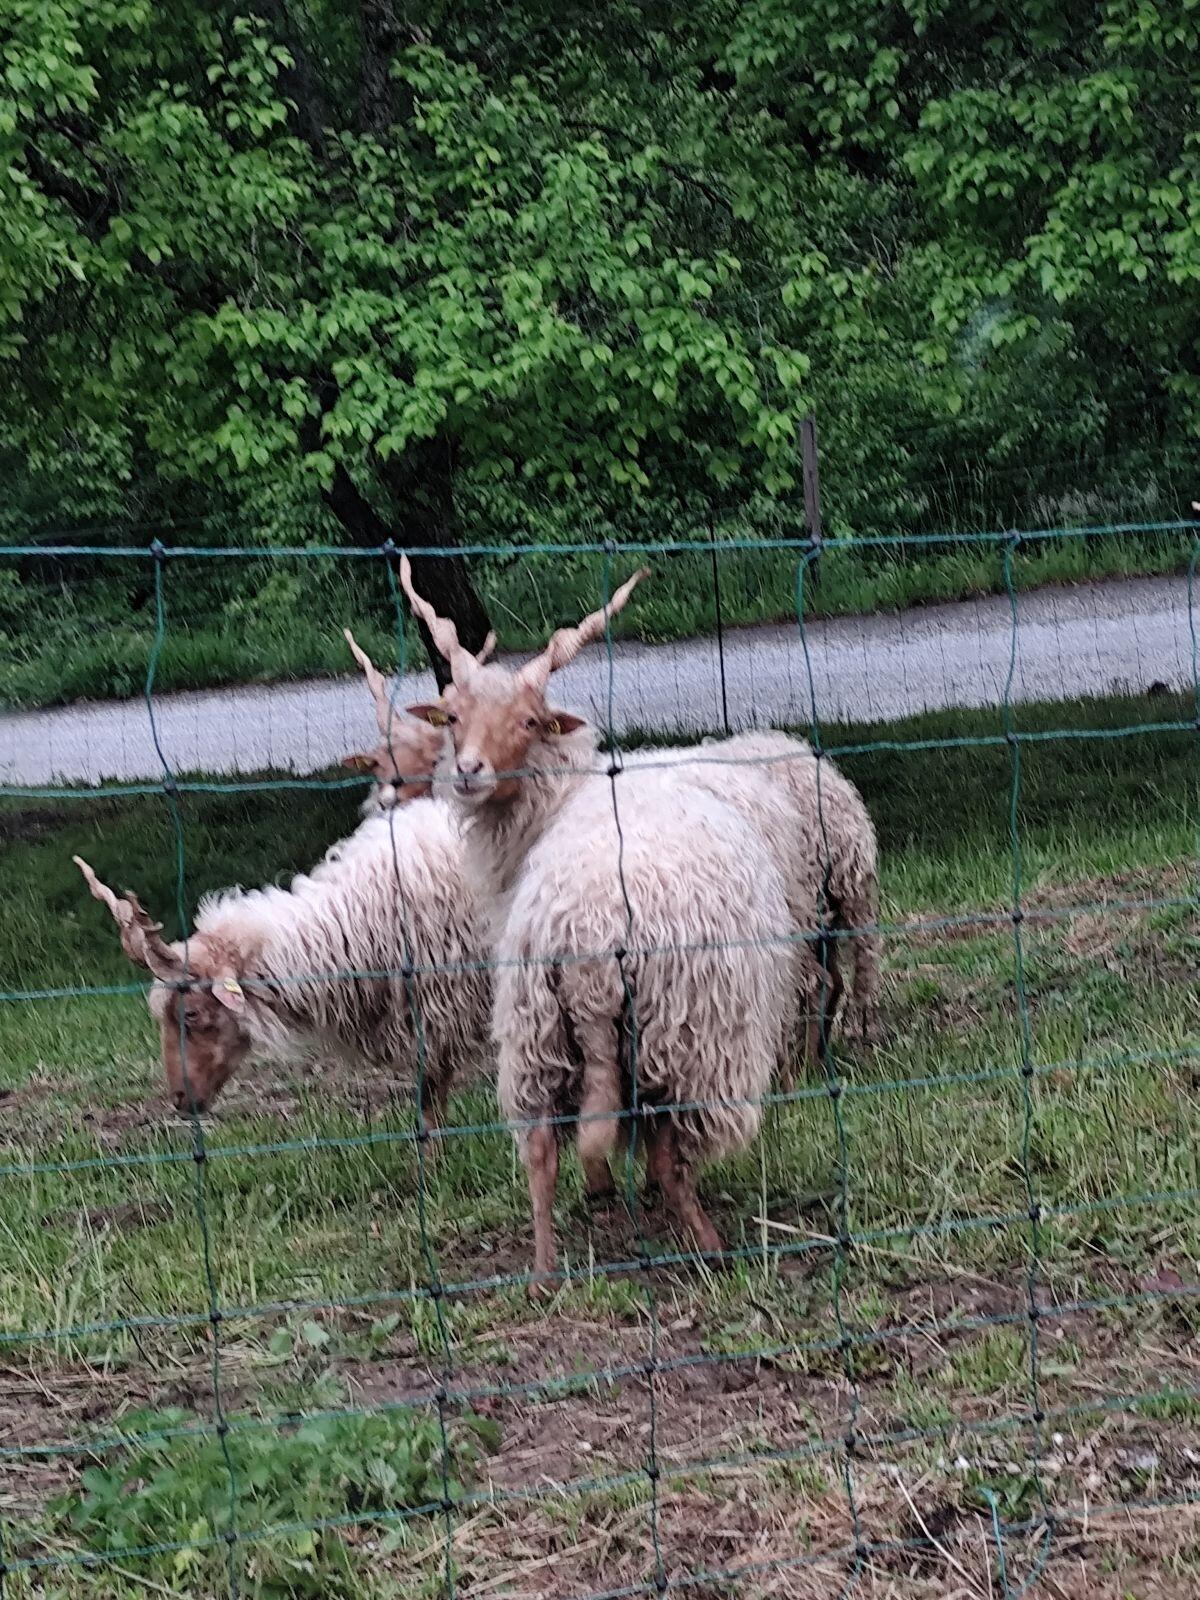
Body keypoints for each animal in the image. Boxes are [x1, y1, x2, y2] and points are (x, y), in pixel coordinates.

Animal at [398, 558, 798, 1280]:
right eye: (453, 716)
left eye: (530, 721)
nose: (468, 771)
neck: (562, 798)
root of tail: (590, 940)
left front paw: (605, 1190)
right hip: (681, 1031)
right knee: (668, 1149)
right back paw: (708, 1246)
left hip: (535, 1028)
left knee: (539, 1151)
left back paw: (544, 1271)